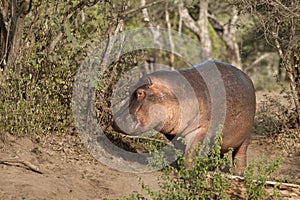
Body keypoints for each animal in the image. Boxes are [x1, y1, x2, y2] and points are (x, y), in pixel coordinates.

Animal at [112, 59, 255, 175]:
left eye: (140, 92)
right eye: (130, 88)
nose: (115, 120)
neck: (175, 92)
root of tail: (247, 78)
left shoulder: (201, 129)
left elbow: (190, 153)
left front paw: (188, 172)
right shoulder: (174, 135)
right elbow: (180, 152)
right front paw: (176, 169)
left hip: (245, 137)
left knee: (240, 156)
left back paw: (237, 174)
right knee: (217, 154)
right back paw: (215, 169)